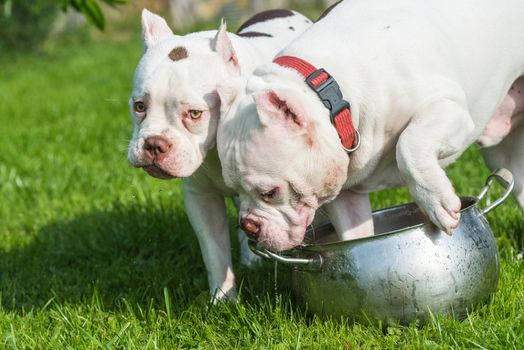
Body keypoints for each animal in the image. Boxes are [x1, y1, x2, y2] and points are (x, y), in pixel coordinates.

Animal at [128, 8, 314, 300]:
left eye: (195, 114)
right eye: (139, 106)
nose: (155, 144)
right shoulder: (201, 199)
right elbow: (214, 252)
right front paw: (223, 301)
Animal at [217, 0, 524, 252]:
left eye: (269, 193)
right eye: (234, 191)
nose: (248, 226)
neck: (330, 92)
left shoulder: (449, 109)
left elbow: (408, 146)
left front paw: (435, 201)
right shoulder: (345, 194)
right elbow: (355, 235)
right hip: (504, 154)